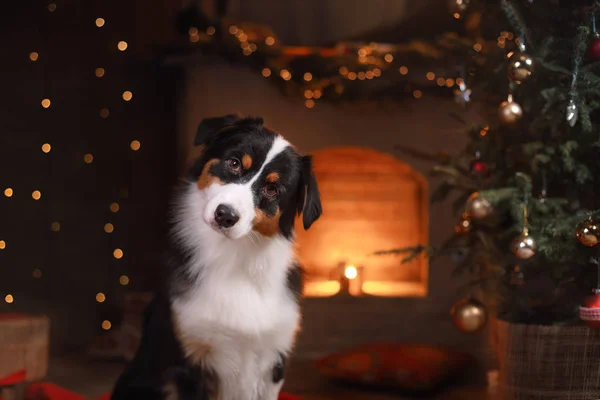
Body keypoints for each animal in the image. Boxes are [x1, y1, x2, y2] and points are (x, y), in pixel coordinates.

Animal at [109, 114, 322, 398]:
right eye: (234, 163)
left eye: (272, 189)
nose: (225, 215)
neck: (234, 257)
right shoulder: (190, 361)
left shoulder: (274, 362)